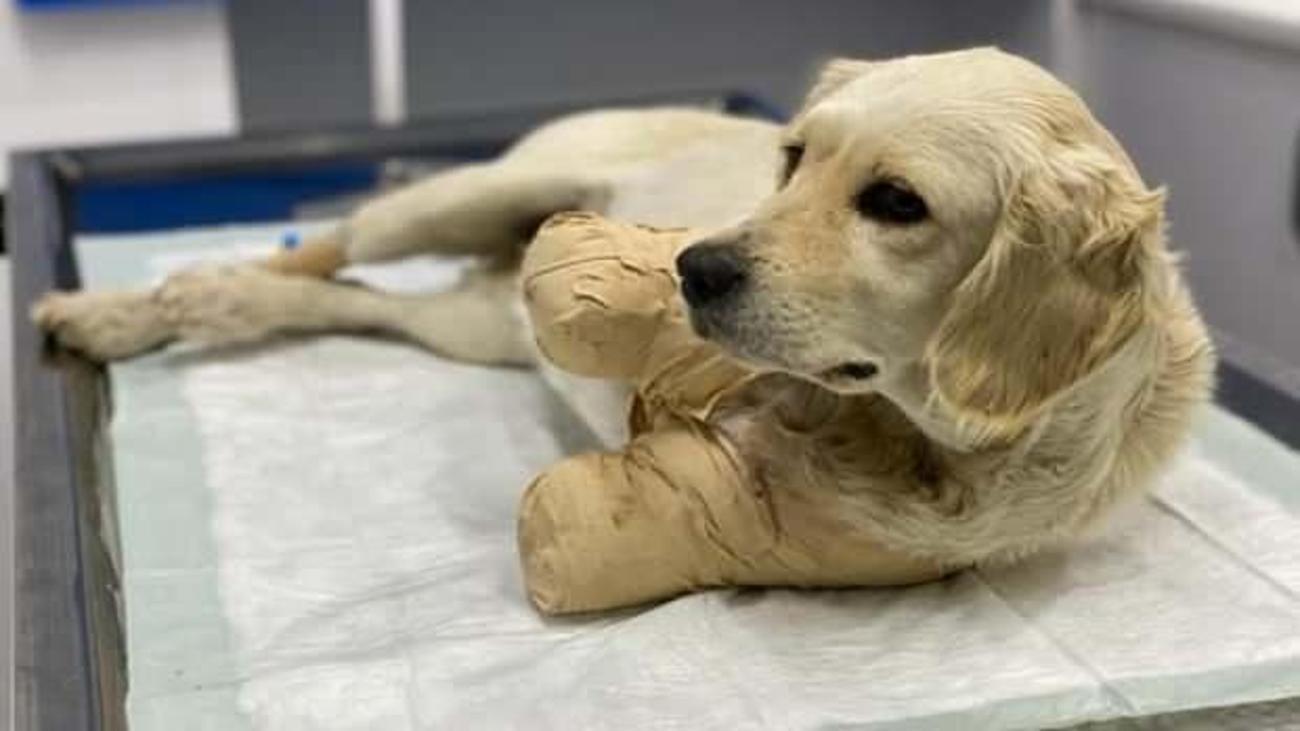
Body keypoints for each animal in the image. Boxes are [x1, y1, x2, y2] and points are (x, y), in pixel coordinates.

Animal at [30, 48, 1211, 569]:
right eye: (792, 158)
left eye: (895, 203)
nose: (693, 266)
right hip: (461, 197)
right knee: (328, 246)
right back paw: (132, 305)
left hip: (473, 323)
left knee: (344, 298)